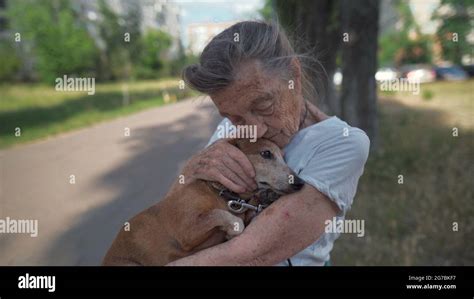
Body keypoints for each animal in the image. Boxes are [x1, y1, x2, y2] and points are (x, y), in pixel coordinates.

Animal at [102, 139, 306, 268]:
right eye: (266, 153)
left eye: (284, 157)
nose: (300, 183)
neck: (220, 195)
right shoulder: (187, 230)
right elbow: (227, 218)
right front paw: (232, 228)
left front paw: (266, 196)